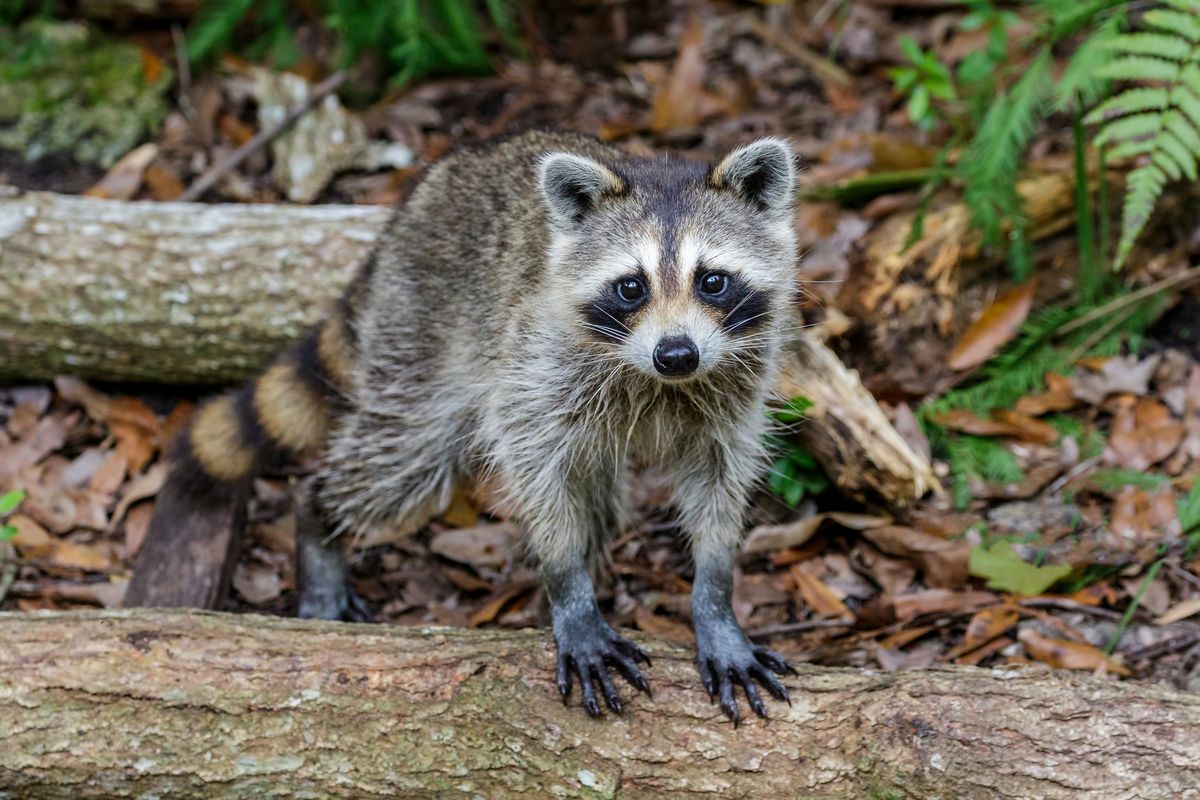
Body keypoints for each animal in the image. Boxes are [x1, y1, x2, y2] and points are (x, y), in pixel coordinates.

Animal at [152, 130, 806, 719]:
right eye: (631, 287)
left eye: (712, 280)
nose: (676, 354)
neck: (659, 381)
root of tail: (412, 209)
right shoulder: (537, 367)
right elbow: (536, 475)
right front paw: (569, 592)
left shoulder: (733, 390)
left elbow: (719, 485)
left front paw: (714, 601)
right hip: (423, 335)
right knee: (399, 459)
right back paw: (318, 520)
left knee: (596, 499)